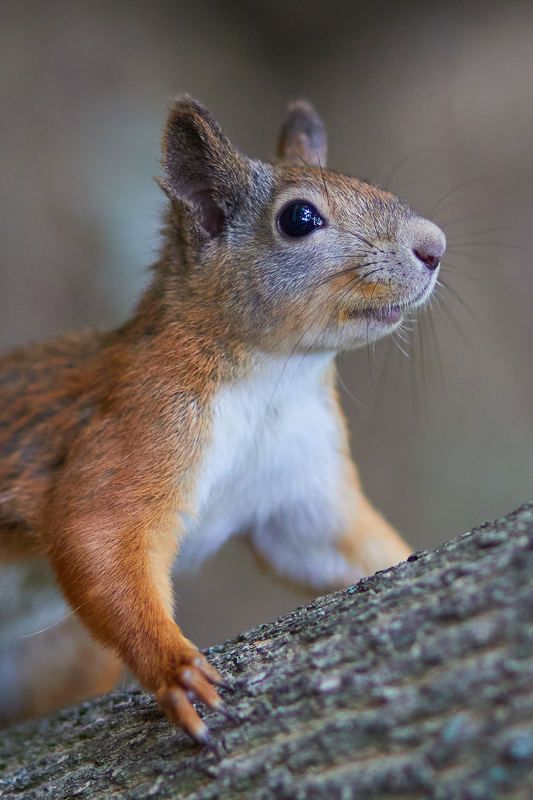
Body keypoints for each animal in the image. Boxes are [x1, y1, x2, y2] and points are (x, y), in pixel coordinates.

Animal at [0, 96, 446, 746]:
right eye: (300, 218)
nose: (435, 246)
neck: (271, 381)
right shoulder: (139, 422)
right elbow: (94, 529)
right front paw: (174, 668)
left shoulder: (298, 485)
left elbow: (340, 547)